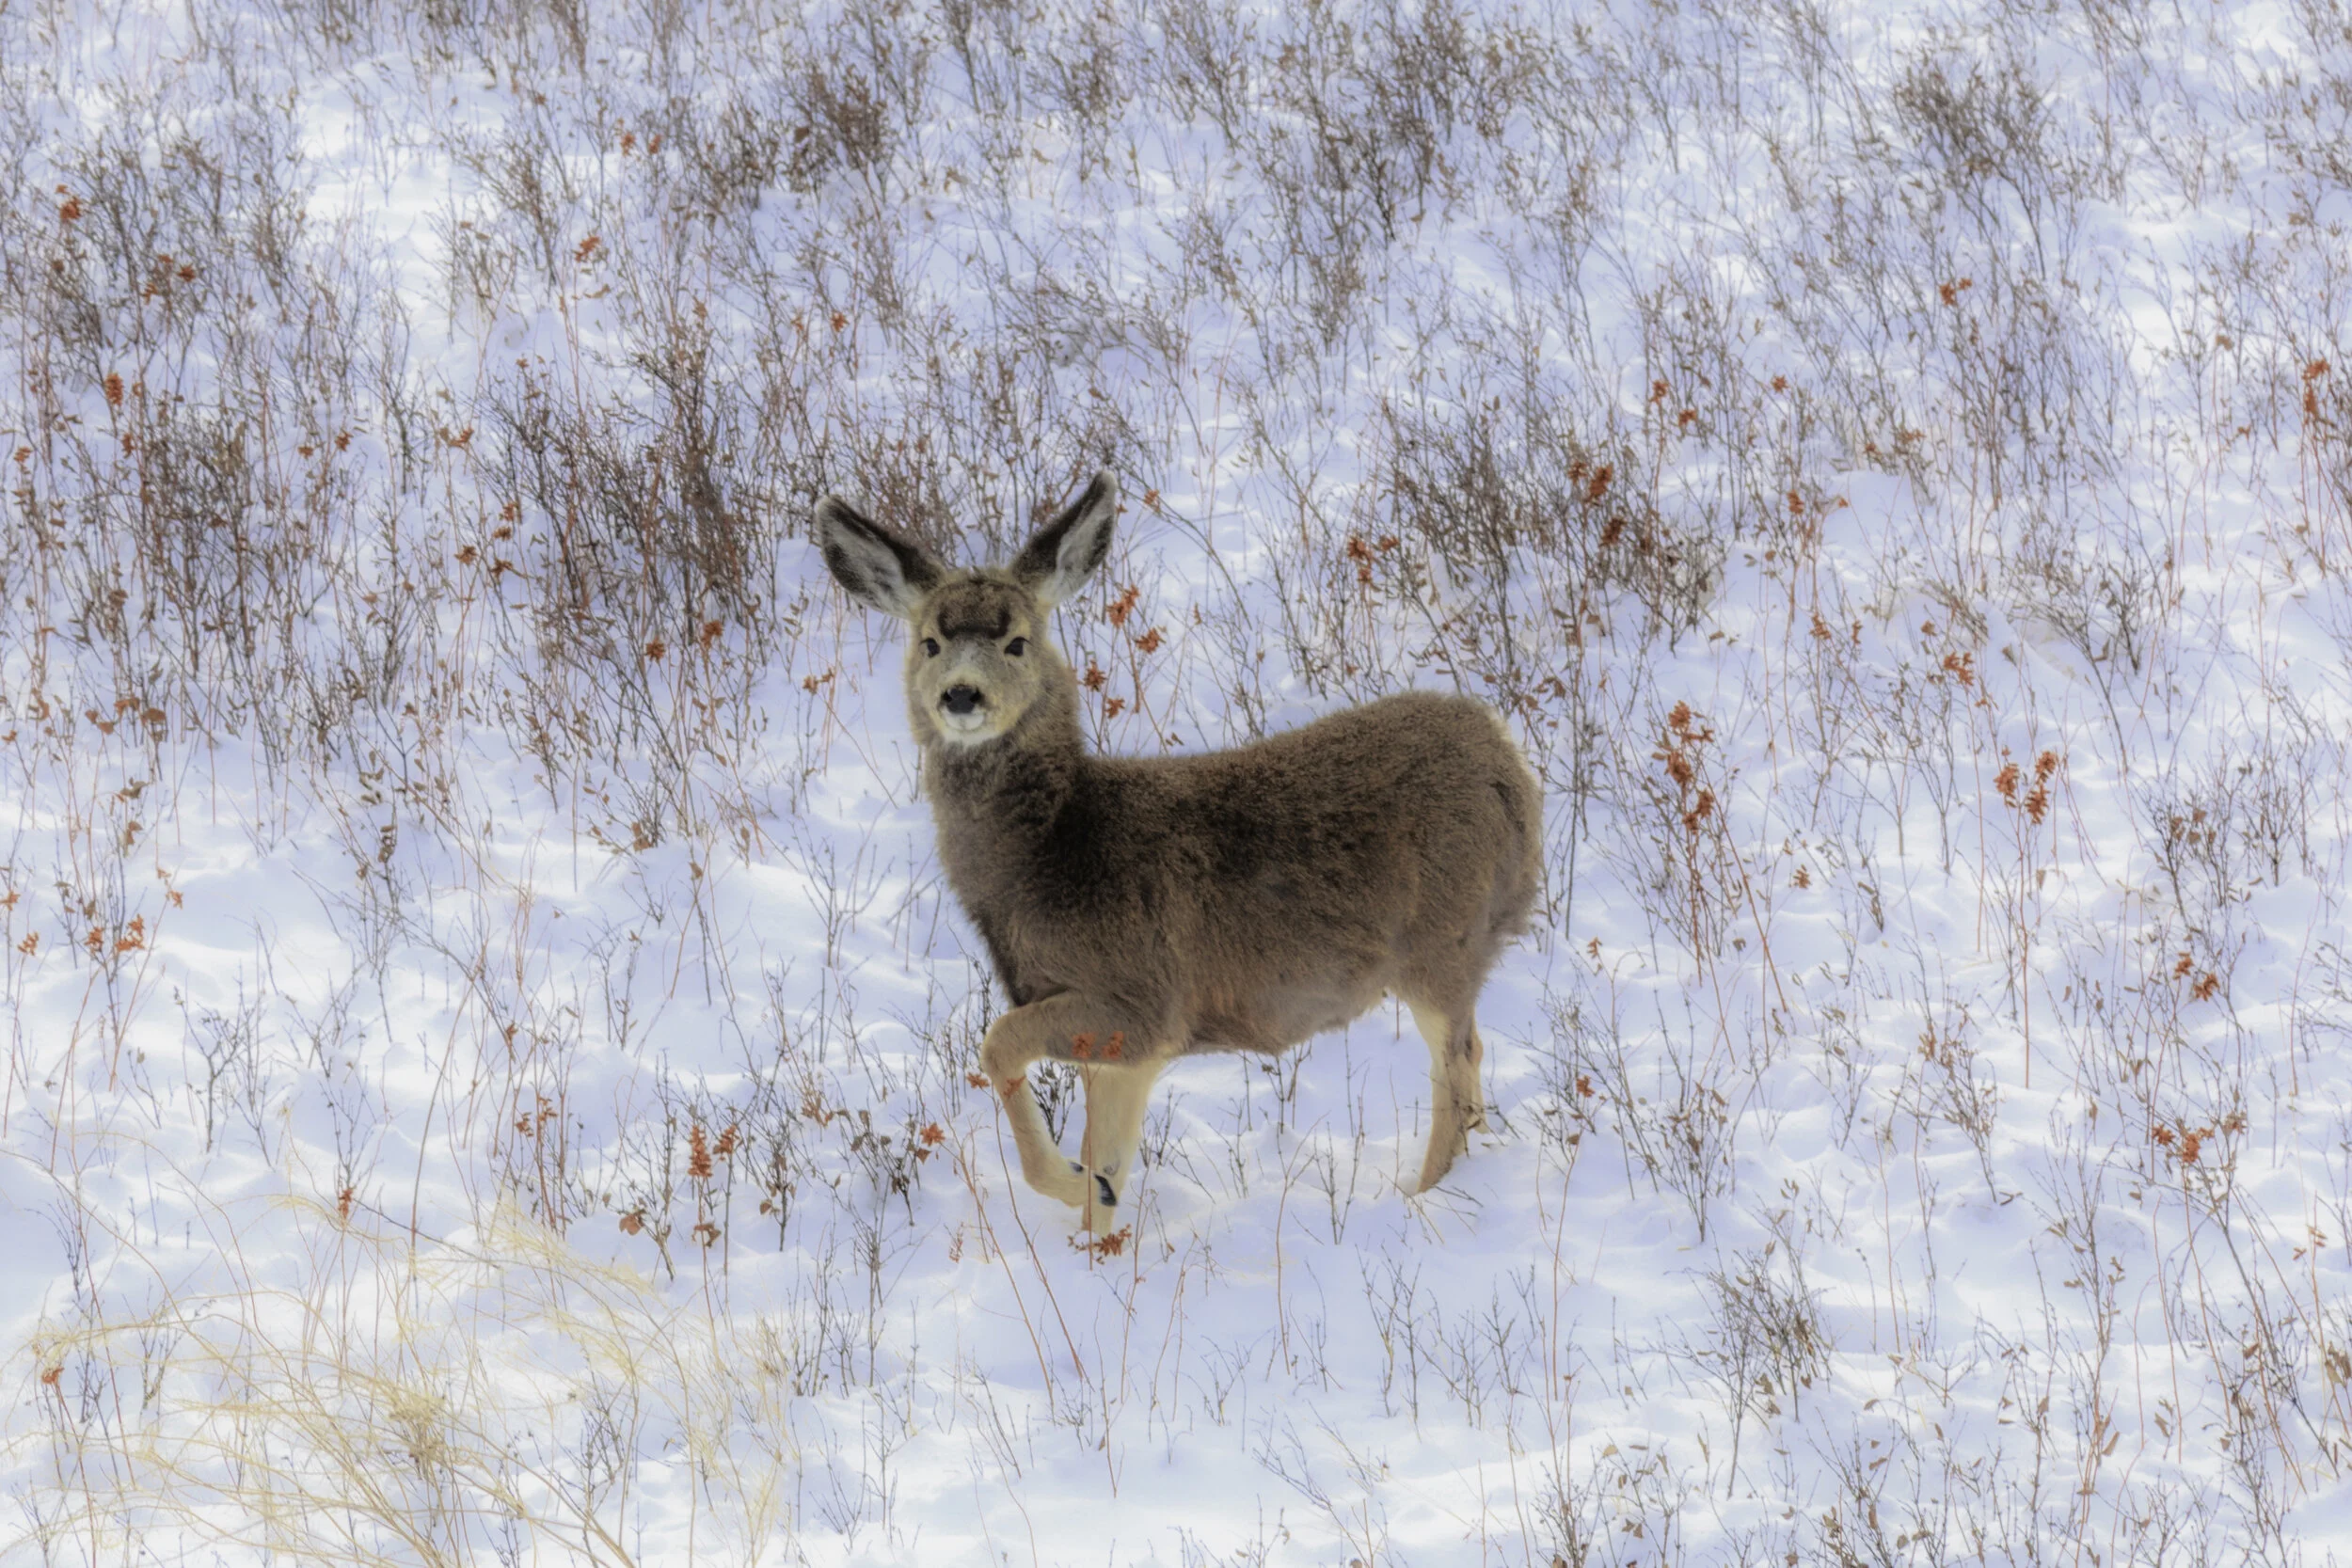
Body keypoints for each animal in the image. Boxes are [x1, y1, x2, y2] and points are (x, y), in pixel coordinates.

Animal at [813, 471, 1542, 1226]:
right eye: (929, 641)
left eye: (1016, 641)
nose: (961, 694)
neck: (1053, 852)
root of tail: (1509, 761)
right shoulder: (1120, 1048)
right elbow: (1108, 1155)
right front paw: (1095, 1219)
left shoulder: (1144, 1001)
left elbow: (997, 1042)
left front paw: (1074, 1183)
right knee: (1471, 1063)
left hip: (1443, 940)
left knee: (1456, 1069)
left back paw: (1421, 1198)